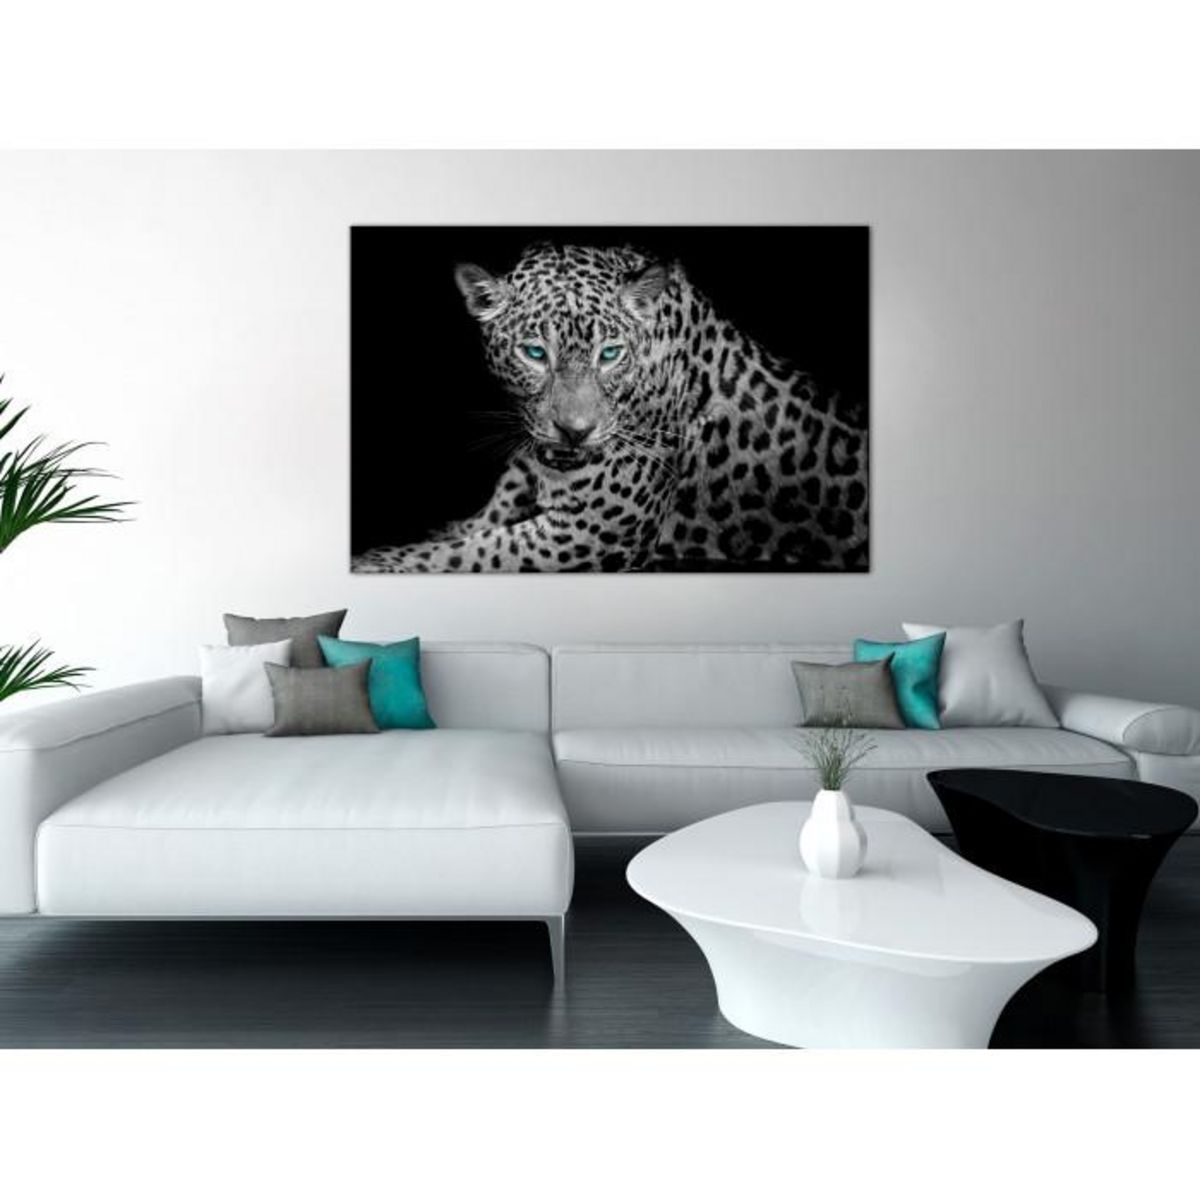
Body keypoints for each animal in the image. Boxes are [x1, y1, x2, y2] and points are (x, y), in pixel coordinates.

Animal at [351, 241, 868, 573]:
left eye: (610, 354)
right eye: (535, 353)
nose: (575, 431)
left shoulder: (595, 529)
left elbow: (466, 554)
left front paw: (378, 561)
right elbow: (464, 532)